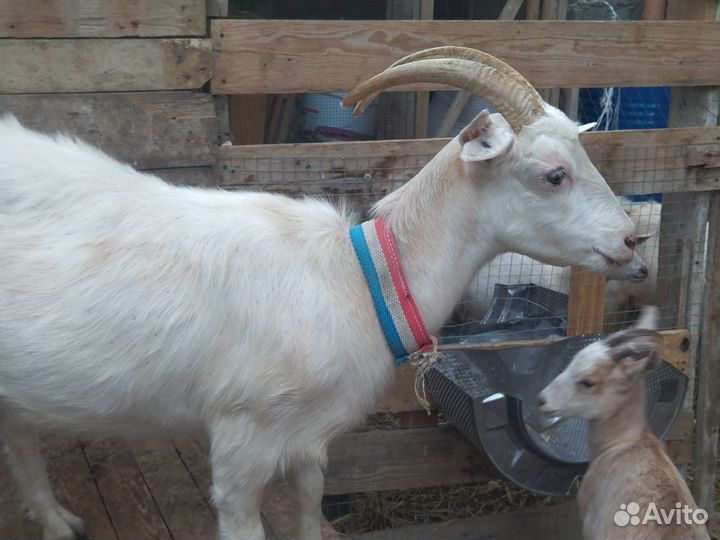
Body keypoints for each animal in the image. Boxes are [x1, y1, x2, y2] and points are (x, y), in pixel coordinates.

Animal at [0, 47, 639, 540]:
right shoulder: (240, 441)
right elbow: (244, 521)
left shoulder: (309, 442)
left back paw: (57, 520)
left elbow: (310, 506)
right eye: (554, 174)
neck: (355, 279)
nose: (632, 238)